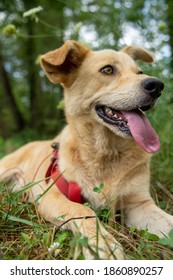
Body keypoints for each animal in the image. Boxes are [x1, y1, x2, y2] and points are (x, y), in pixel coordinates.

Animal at [0, 40, 173, 260]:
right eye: (107, 69)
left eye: (139, 72)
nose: (157, 85)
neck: (105, 154)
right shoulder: (50, 196)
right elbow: (82, 210)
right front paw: (102, 243)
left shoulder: (139, 204)